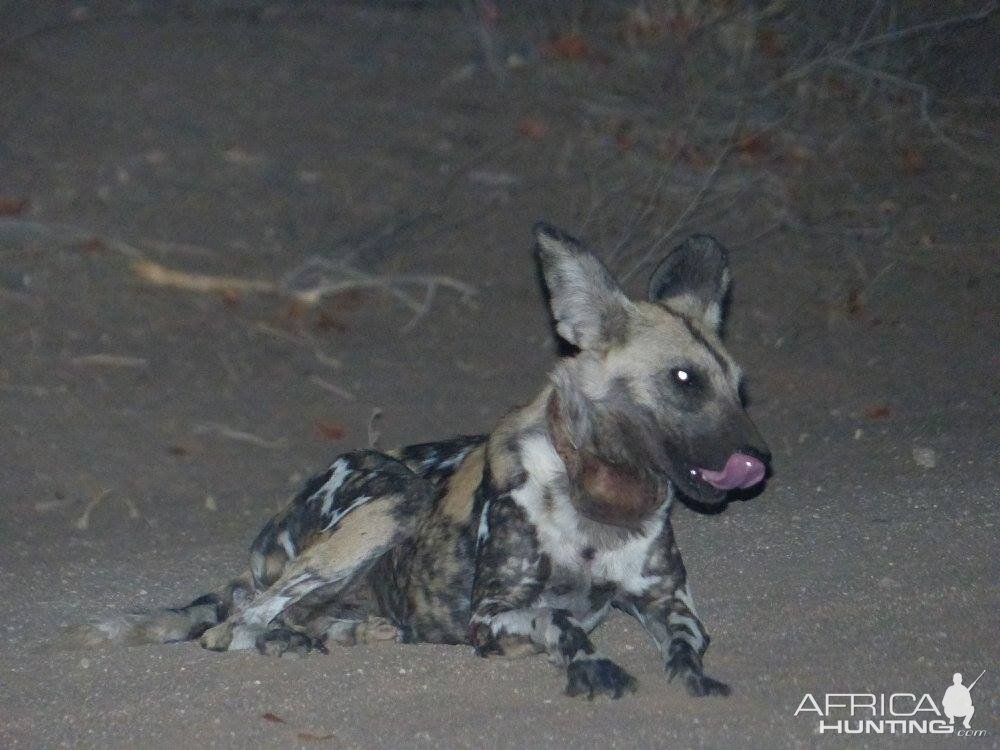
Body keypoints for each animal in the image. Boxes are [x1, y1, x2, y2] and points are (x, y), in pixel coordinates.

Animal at [86, 223, 772, 700]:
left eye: (739, 387)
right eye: (683, 380)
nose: (761, 460)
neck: (601, 501)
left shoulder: (671, 606)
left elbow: (687, 646)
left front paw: (694, 677)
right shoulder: (492, 615)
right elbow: (563, 622)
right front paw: (594, 669)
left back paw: (345, 631)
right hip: (395, 498)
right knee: (235, 622)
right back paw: (282, 637)